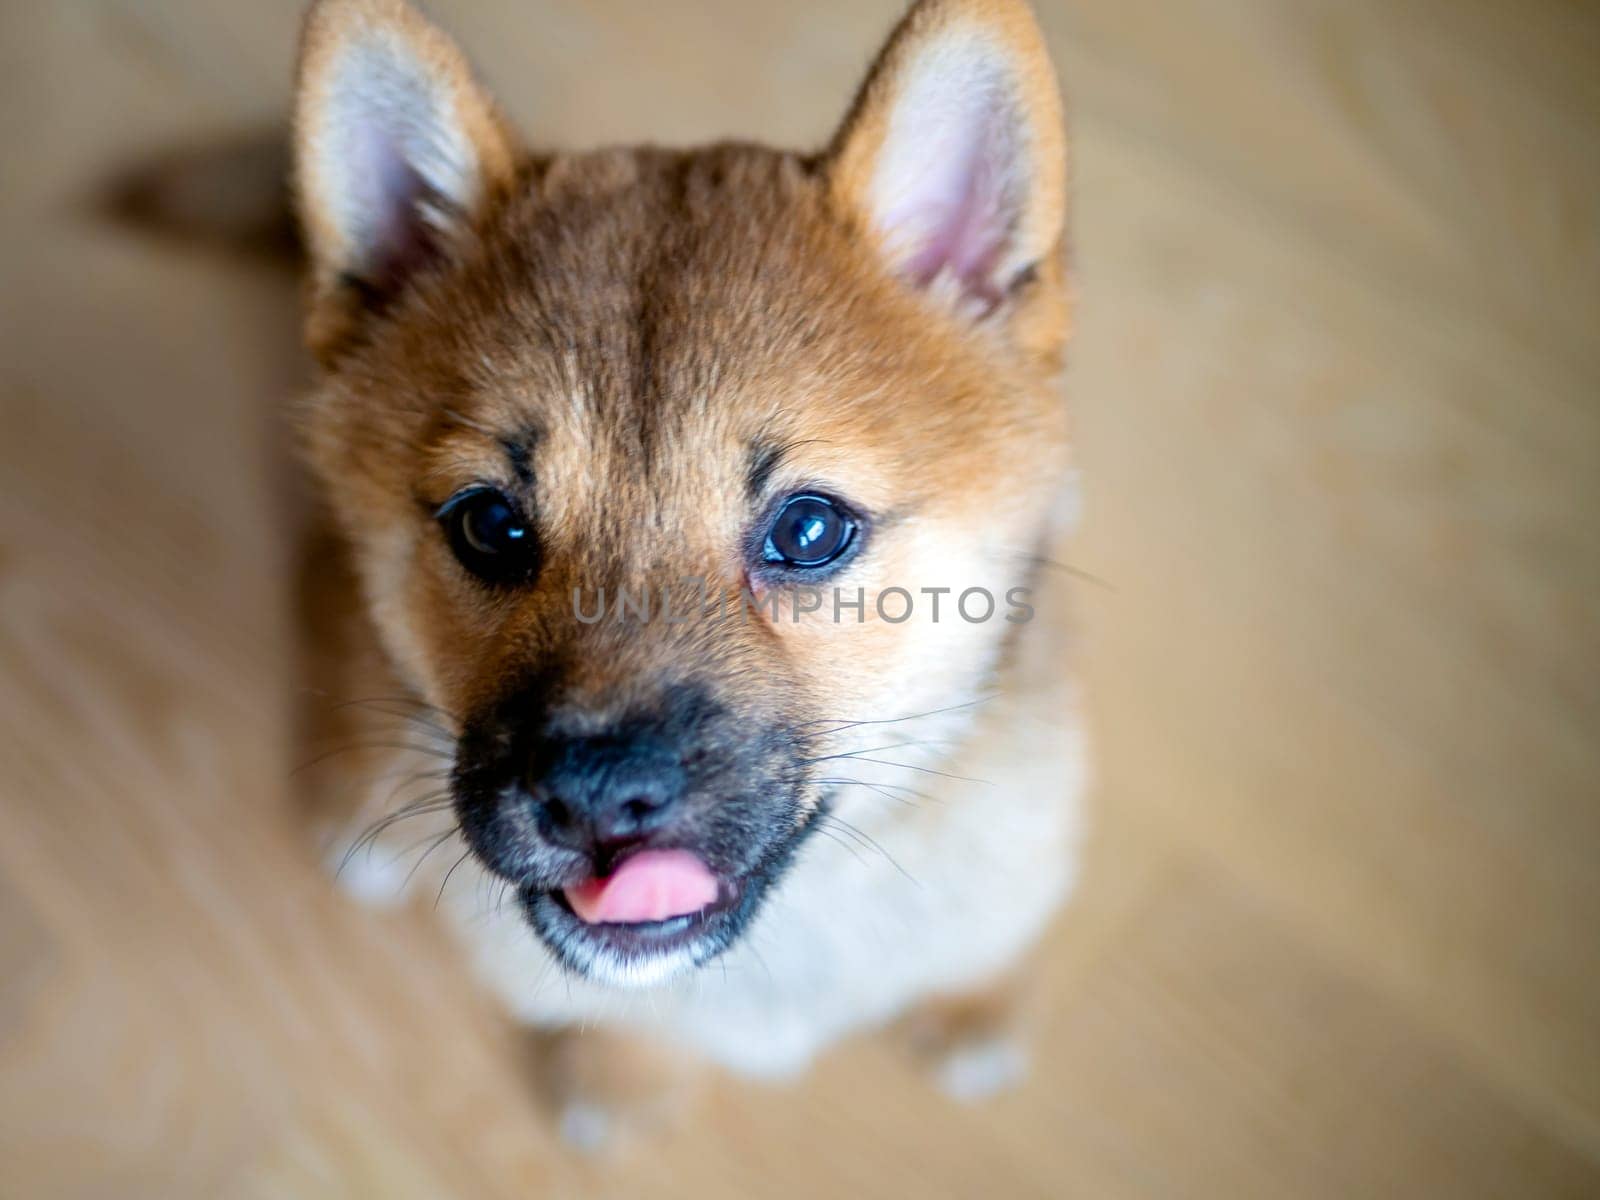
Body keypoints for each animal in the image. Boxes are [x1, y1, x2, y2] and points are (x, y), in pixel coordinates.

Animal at [294, 0, 1081, 1145]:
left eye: (809, 530)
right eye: (490, 524)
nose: (591, 799)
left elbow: (978, 939)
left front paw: (973, 1010)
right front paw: (620, 1074)